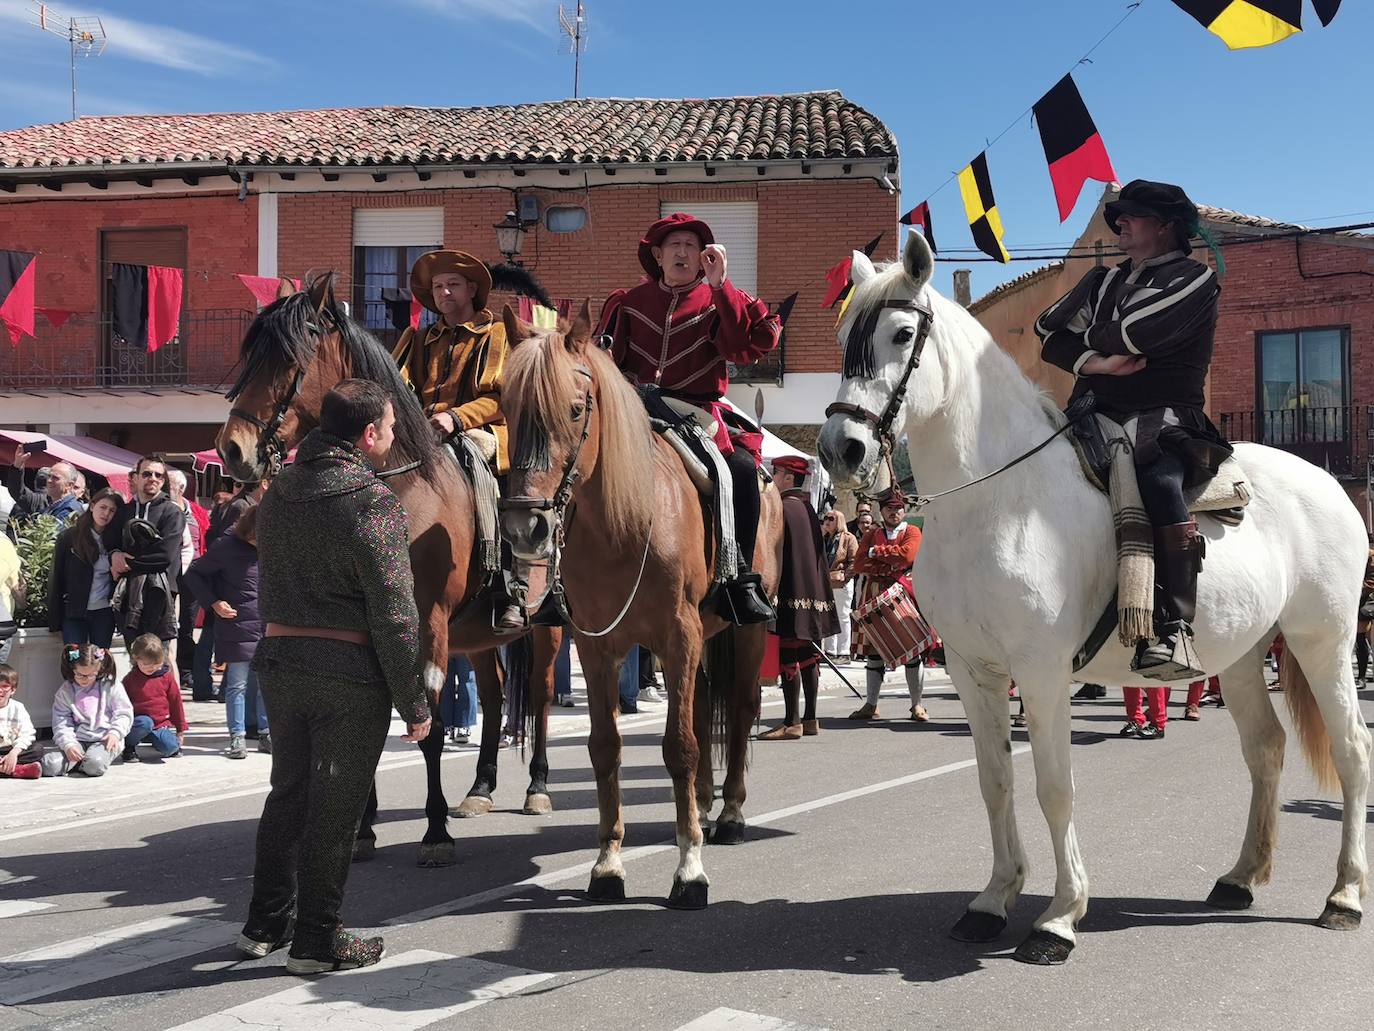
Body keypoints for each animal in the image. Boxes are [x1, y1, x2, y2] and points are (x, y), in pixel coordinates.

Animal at [214, 276, 557, 874]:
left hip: (550, 629)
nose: (233, 450)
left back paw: (535, 787)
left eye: (287, 359)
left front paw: (436, 832)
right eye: (250, 354)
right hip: (480, 638)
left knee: (537, 696)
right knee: (493, 699)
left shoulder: (427, 622)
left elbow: (432, 727)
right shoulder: (371, 624)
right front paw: (362, 829)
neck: (398, 481)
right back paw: (481, 789)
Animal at [502, 306, 785, 912]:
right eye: (508, 409)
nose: (524, 527)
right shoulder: (598, 647)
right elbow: (606, 747)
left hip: (745, 632)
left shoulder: (677, 636)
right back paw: (700, 802)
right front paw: (608, 864)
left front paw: (690, 870)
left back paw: (728, 813)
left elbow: (678, 746)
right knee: (700, 709)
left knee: (741, 708)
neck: (624, 521)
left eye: (575, 408)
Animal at [818, 233, 1368, 967]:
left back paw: (1344, 895)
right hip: (1246, 654)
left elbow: (1054, 787)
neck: (996, 500)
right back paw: (1241, 876)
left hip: (1322, 641)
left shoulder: (1042, 672)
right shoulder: (971, 670)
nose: (841, 449)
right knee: (1266, 748)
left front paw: (1058, 916)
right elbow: (995, 781)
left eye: (903, 334)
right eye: (844, 334)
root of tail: (1330, 483)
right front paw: (992, 900)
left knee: (1352, 751)